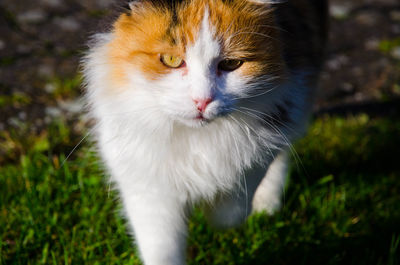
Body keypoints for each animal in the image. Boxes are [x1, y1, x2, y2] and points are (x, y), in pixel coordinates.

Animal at [82, 0, 328, 262]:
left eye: (231, 64)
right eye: (171, 59)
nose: (202, 101)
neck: (195, 137)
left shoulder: (272, 129)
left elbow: (230, 211)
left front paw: (210, 205)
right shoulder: (147, 184)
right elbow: (162, 249)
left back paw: (266, 207)